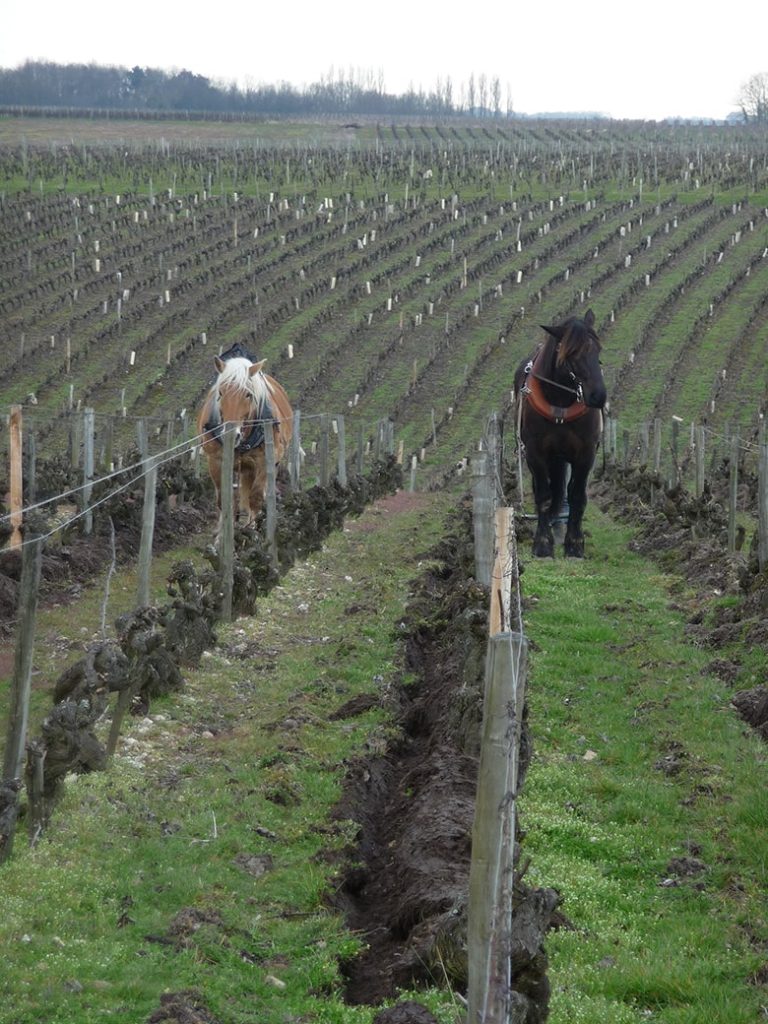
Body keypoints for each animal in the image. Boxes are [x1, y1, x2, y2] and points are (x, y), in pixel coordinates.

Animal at [196, 352, 292, 528]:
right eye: (221, 393)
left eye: (248, 394)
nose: (231, 435)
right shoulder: (215, 461)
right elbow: (225, 499)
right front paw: (225, 530)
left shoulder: (265, 460)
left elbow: (255, 497)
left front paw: (251, 529)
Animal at [518, 307, 606, 557]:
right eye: (571, 354)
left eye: (597, 349)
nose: (599, 396)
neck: (560, 401)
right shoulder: (535, 453)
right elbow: (544, 496)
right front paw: (542, 544)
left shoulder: (586, 453)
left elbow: (577, 496)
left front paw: (574, 544)